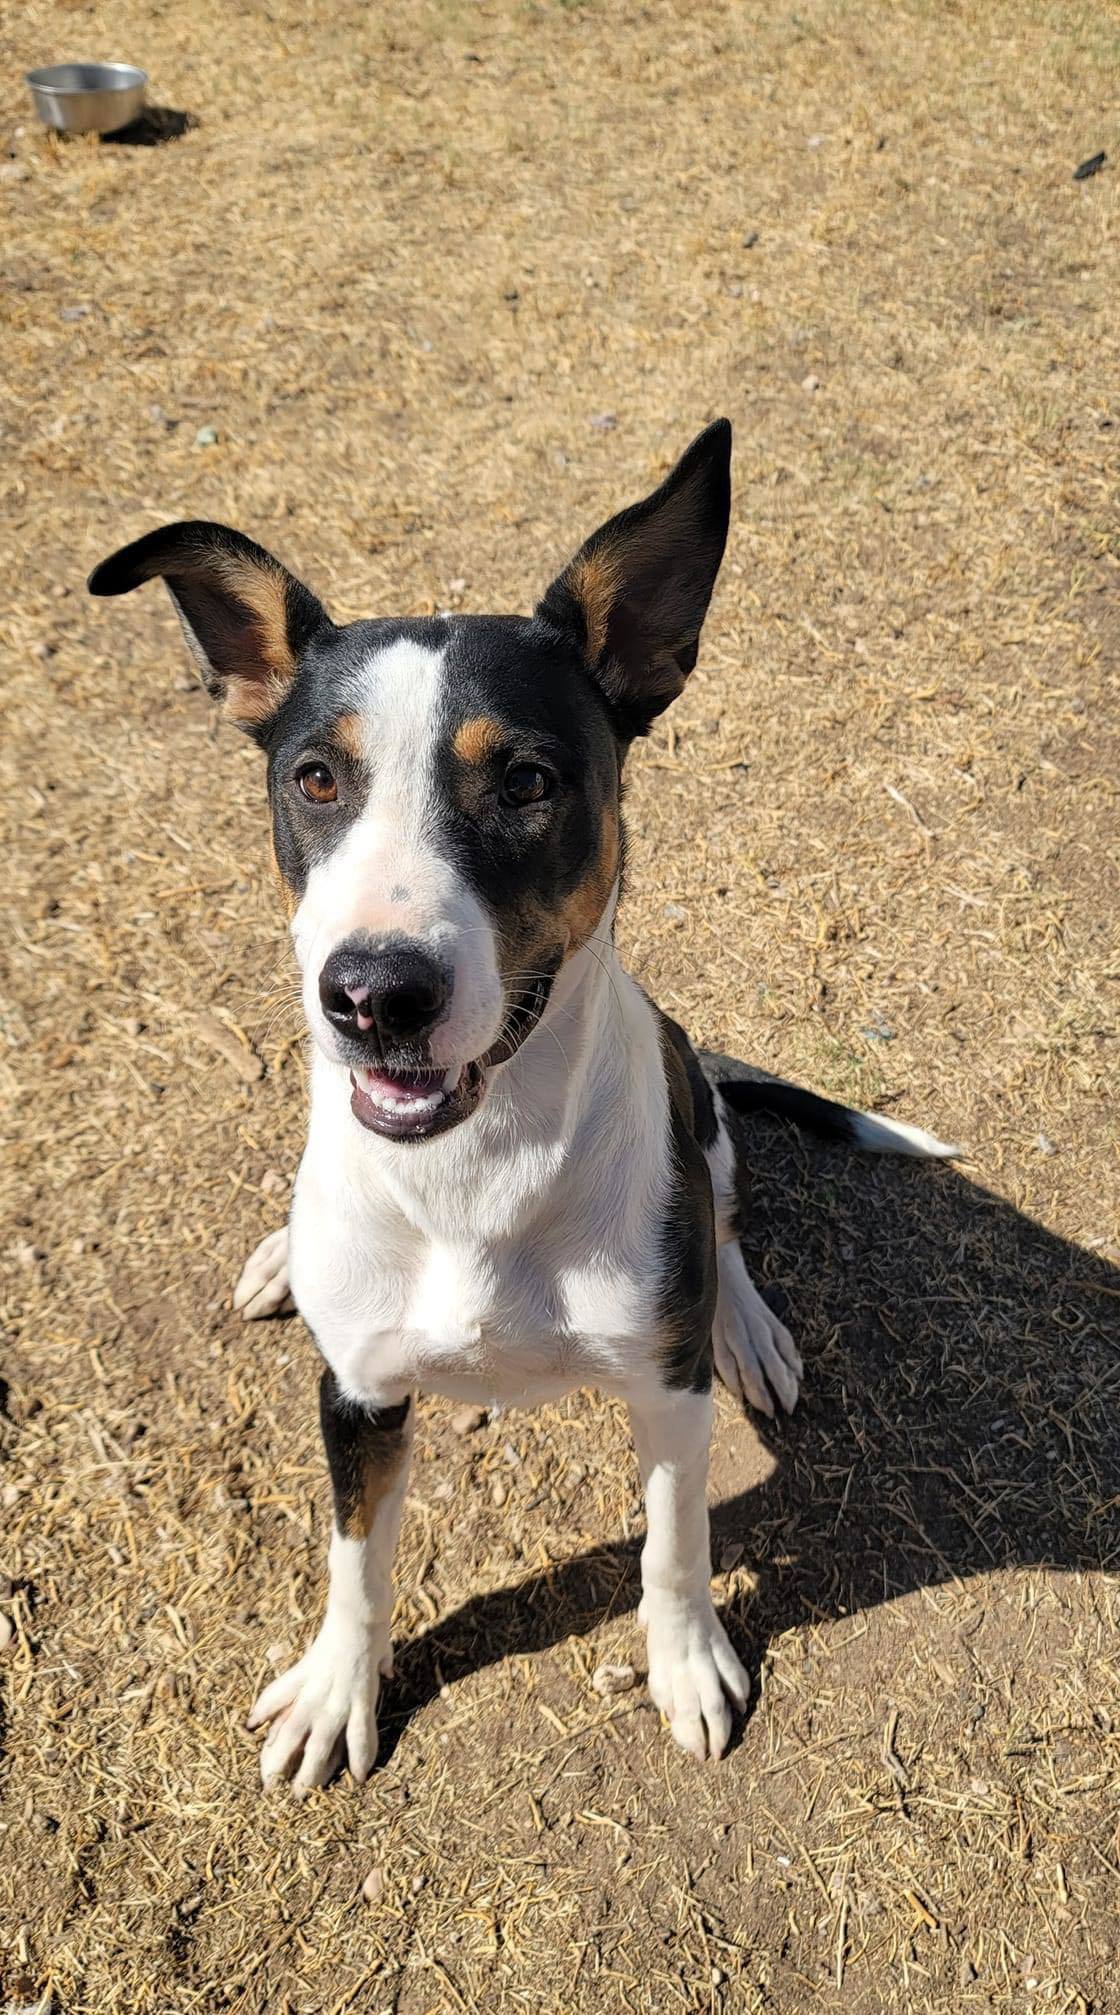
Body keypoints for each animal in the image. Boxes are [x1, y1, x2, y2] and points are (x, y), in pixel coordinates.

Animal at [89, 421, 954, 1797]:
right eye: (315, 777)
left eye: (530, 780)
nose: (373, 994)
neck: (472, 1176)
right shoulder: (357, 1394)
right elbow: (356, 1559)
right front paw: (336, 1689)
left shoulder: (664, 1396)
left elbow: (670, 1543)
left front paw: (686, 1662)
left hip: (695, 1098)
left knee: (720, 1211)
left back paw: (746, 1324)